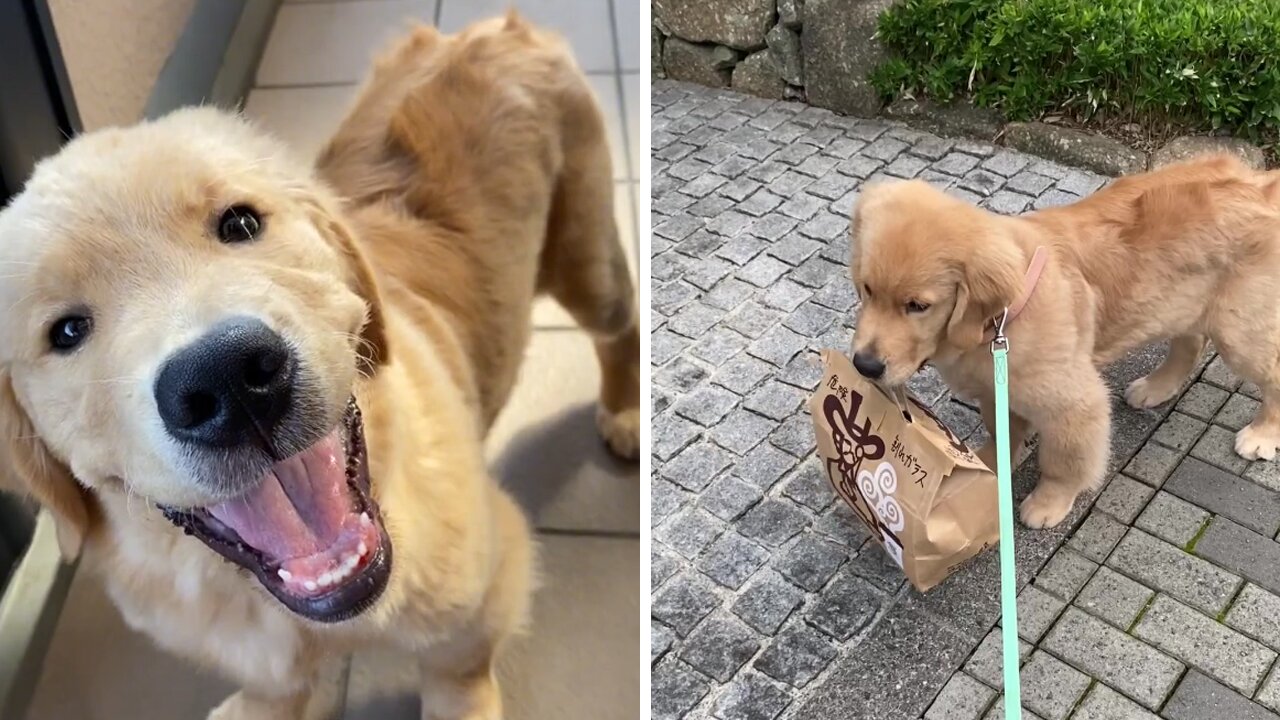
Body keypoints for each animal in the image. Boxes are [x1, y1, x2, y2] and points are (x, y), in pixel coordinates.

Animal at [0, 14, 640, 712]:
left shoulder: (487, 580)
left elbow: (458, 670)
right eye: (66, 331)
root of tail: (489, 28)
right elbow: (273, 689)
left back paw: (627, 414)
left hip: (586, 257)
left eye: (240, 223)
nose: (227, 379)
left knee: (622, 326)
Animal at [849, 152, 1280, 527]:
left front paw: (1049, 502)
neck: (1000, 319)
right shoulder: (996, 390)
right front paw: (991, 464)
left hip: (1239, 330)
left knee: (1270, 375)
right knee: (1190, 344)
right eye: (867, 289)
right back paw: (1157, 387)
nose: (863, 366)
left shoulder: (1072, 403)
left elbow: (1063, 461)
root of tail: (1263, 183)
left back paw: (1262, 435)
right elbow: (1002, 431)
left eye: (917, 306)